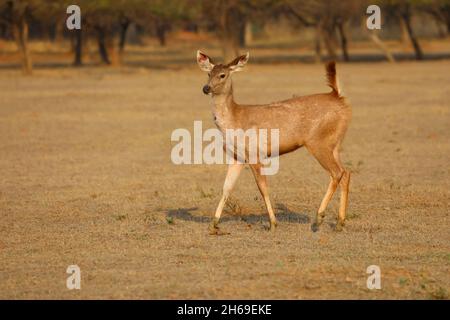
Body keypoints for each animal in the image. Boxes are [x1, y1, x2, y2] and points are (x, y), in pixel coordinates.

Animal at [197, 50, 352, 235]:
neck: (234, 119)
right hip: (334, 143)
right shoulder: (237, 157)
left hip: (318, 141)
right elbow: (226, 188)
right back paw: (339, 223)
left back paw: (318, 219)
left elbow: (263, 188)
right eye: (208, 73)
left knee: (336, 172)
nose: (206, 88)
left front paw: (272, 223)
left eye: (223, 75)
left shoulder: (255, 154)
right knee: (346, 173)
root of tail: (338, 96)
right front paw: (213, 224)